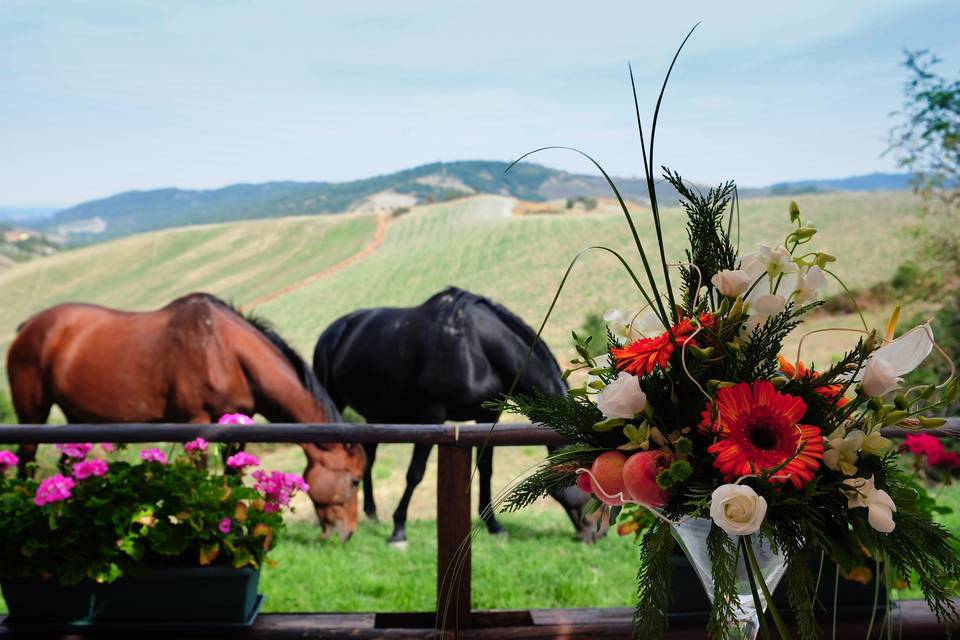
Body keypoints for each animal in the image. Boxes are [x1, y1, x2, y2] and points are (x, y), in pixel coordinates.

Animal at [6, 294, 368, 540]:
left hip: (76, 419)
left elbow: (232, 481)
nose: (347, 533)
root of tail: (28, 327)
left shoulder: (238, 426)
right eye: (353, 480)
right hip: (32, 414)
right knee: (26, 462)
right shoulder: (198, 423)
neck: (224, 351)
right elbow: (201, 480)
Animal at [314, 288, 600, 544]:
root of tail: (334, 330)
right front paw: (399, 529)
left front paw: (494, 525)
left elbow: (486, 469)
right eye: (586, 477)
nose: (598, 533)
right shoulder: (432, 414)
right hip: (335, 400)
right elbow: (415, 472)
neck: (476, 347)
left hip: (377, 414)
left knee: (368, 456)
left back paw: (372, 514)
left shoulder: (487, 416)